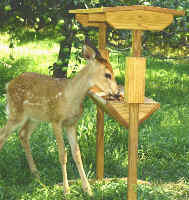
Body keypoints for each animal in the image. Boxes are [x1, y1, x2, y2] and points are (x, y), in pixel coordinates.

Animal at [0, 41, 118, 195]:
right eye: (107, 74)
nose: (117, 93)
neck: (70, 96)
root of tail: (8, 85)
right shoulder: (56, 120)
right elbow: (63, 155)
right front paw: (66, 190)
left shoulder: (71, 123)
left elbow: (77, 154)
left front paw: (88, 189)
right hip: (16, 112)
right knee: (3, 135)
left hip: (34, 117)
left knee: (22, 134)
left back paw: (36, 173)